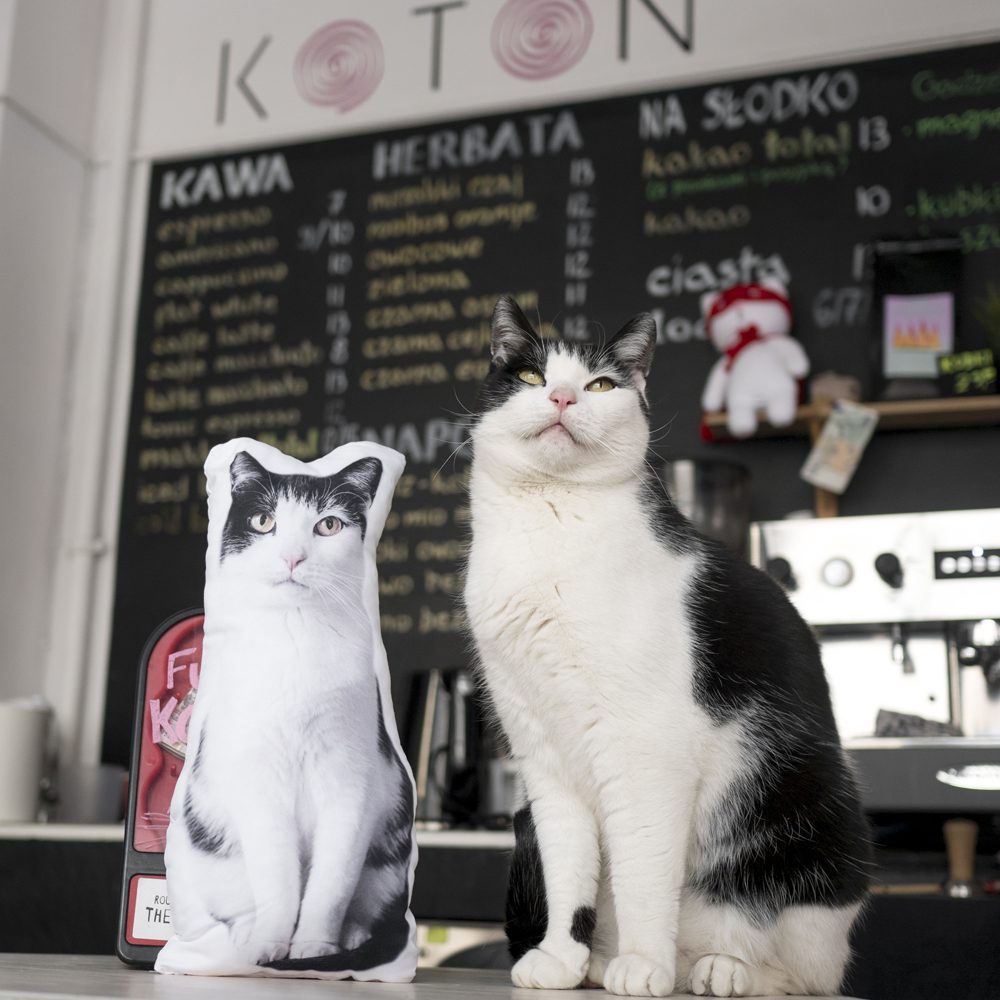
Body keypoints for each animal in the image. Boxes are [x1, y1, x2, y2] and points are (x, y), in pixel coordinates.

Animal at [158, 442, 416, 980]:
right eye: (263, 520)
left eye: (329, 525)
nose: (293, 557)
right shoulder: (257, 781)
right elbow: (277, 878)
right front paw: (269, 947)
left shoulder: (350, 781)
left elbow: (331, 883)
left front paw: (314, 949)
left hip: (387, 857)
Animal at [464, 298, 872, 1000]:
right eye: (530, 377)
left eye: (601, 385)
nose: (564, 397)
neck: (547, 525)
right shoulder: (543, 756)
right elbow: (570, 868)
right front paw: (561, 959)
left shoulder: (647, 749)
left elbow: (641, 870)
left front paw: (643, 964)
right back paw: (607, 963)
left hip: (815, 822)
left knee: (801, 970)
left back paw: (718, 968)